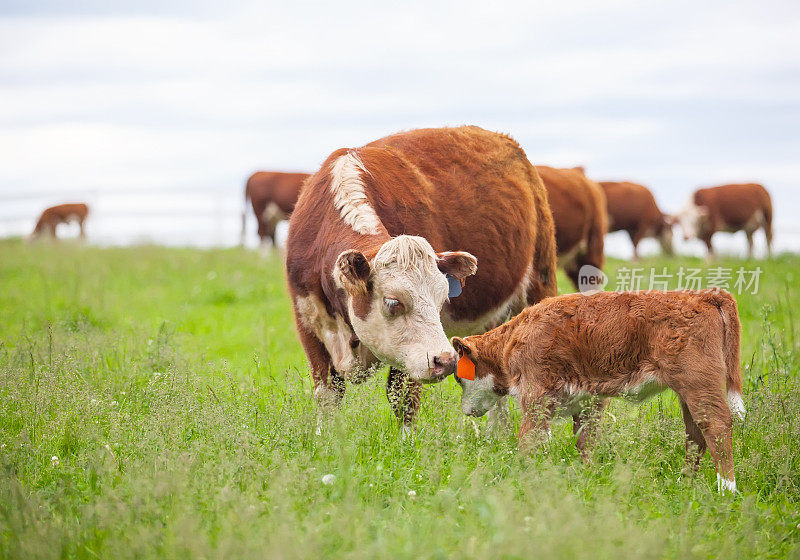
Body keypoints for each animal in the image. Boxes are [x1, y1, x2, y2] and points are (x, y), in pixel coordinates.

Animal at [454, 288, 748, 494]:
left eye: (458, 378)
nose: (465, 410)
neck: (514, 337)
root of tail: (704, 295)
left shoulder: (536, 394)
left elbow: (529, 437)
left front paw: (524, 473)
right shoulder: (588, 400)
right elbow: (585, 439)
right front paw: (588, 474)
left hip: (699, 383)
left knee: (716, 426)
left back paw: (726, 489)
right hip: (688, 392)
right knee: (695, 433)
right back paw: (685, 481)